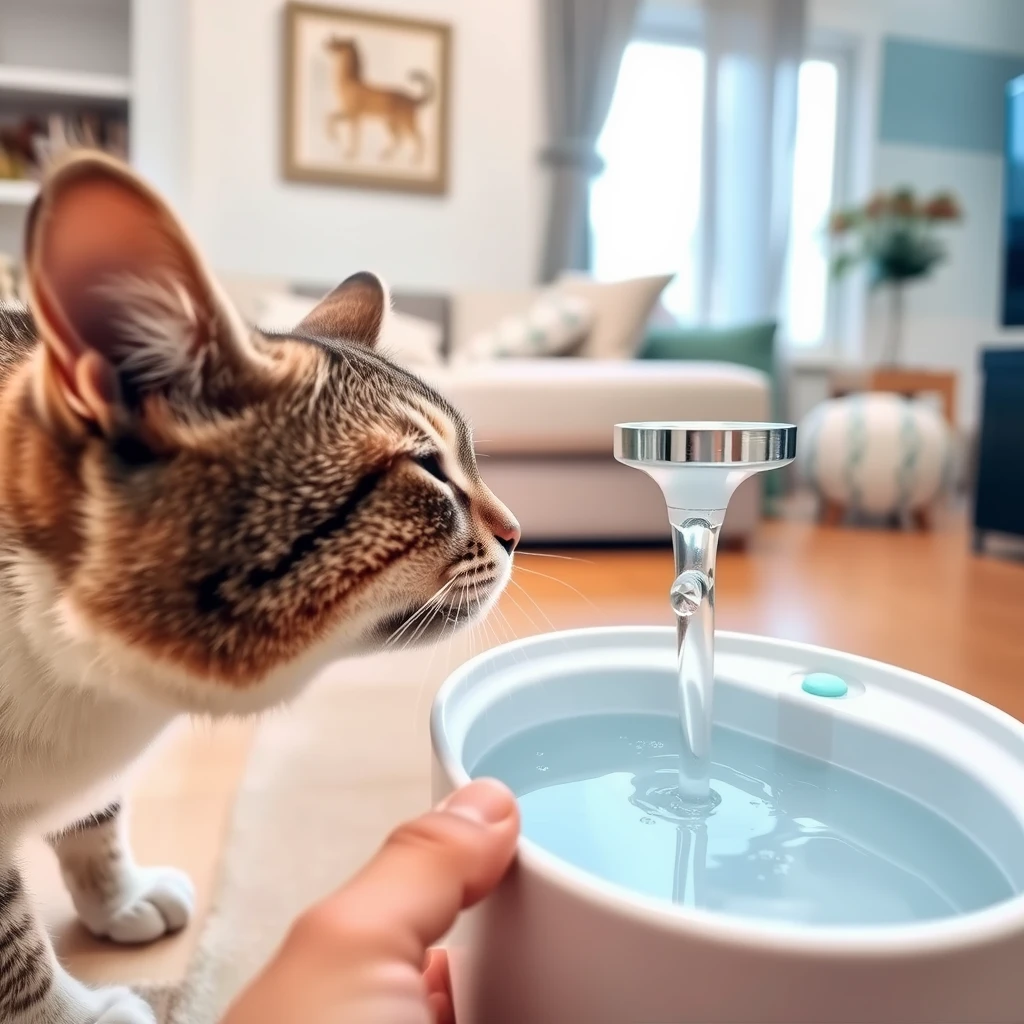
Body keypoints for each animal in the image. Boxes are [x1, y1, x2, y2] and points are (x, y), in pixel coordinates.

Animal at [0, 151, 516, 1024]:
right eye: (428, 469)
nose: (517, 530)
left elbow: (98, 815)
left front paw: (117, 896)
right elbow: (12, 949)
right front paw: (73, 1014)